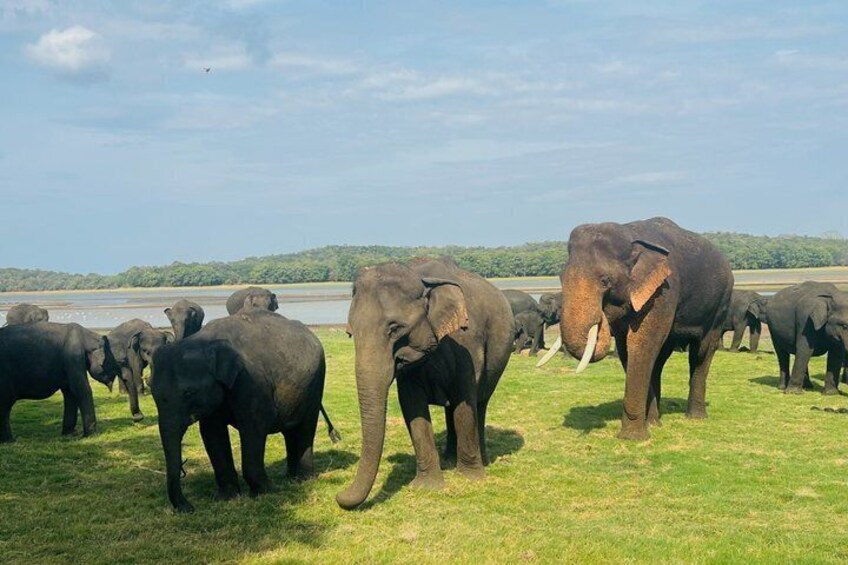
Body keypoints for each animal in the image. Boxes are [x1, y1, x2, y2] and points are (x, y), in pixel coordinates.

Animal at [151, 308, 331, 513]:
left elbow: (254, 427)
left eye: (189, 393)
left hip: (317, 381)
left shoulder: (250, 381)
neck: (205, 341)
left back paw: (304, 479)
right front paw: (226, 497)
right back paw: (290, 477)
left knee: (306, 426)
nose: (189, 507)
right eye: (152, 392)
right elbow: (212, 433)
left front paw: (266, 491)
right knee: (290, 430)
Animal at [336, 257, 514, 510]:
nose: (338, 496)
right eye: (350, 333)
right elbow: (412, 404)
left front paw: (471, 479)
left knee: (479, 404)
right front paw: (427, 486)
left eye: (394, 328)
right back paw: (449, 459)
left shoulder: (468, 343)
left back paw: (482, 462)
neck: (420, 277)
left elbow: (464, 402)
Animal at [542, 217, 733, 441]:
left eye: (605, 280)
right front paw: (645, 428)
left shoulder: (663, 290)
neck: (631, 235)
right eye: (560, 278)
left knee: (701, 352)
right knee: (660, 359)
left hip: (720, 305)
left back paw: (695, 418)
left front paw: (633, 438)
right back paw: (655, 422)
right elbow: (628, 348)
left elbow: (641, 342)